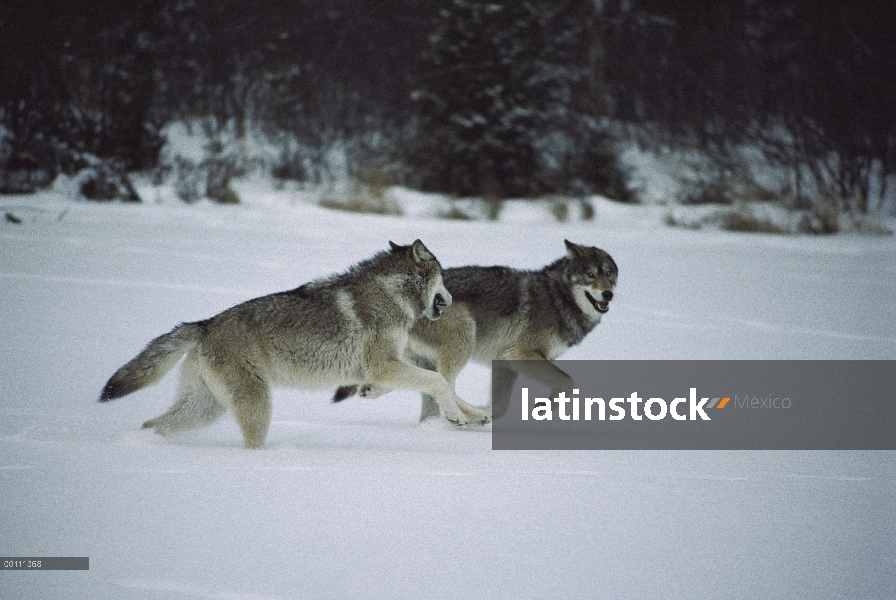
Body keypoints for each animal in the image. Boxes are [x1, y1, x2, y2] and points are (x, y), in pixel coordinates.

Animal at [100, 241, 490, 448]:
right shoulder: (383, 366)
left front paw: (474, 415)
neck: (392, 294)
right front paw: (458, 417)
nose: (451, 300)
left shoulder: (383, 369)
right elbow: (440, 382)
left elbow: (444, 386)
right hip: (255, 404)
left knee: (154, 424)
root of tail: (205, 324)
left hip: (205, 408)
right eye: (443, 278)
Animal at [332, 240, 620, 422]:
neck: (558, 297)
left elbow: (501, 406)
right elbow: (568, 381)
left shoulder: (505, 361)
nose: (608, 294)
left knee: (413, 381)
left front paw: (487, 414)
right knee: (443, 383)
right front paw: (540, 406)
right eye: (590, 275)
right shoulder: (522, 354)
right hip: (464, 333)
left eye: (609, 273)